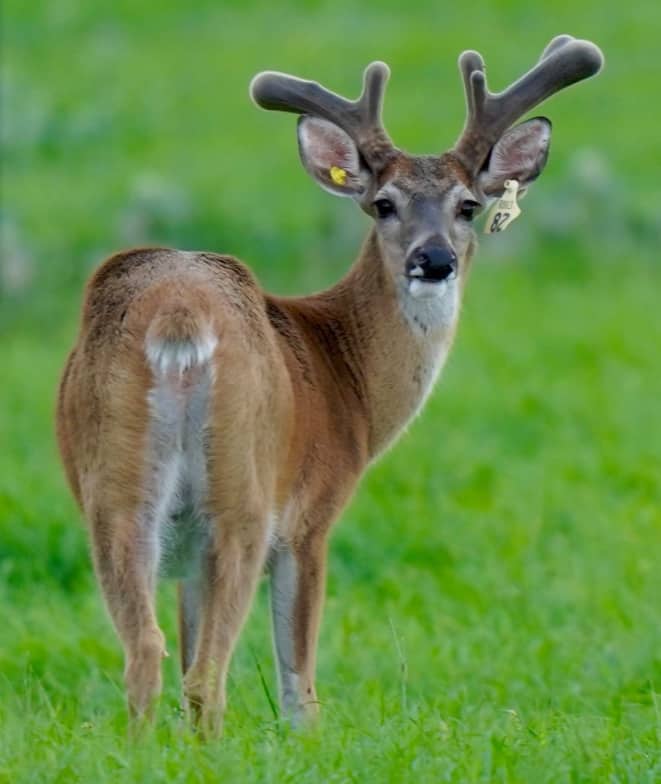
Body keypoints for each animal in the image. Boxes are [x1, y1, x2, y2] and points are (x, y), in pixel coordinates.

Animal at [56, 35, 603, 735]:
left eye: (469, 206)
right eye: (384, 204)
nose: (433, 259)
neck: (347, 376)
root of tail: (179, 312)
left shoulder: (183, 556)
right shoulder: (312, 515)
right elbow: (300, 686)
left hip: (115, 494)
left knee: (149, 656)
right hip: (244, 492)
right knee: (209, 673)